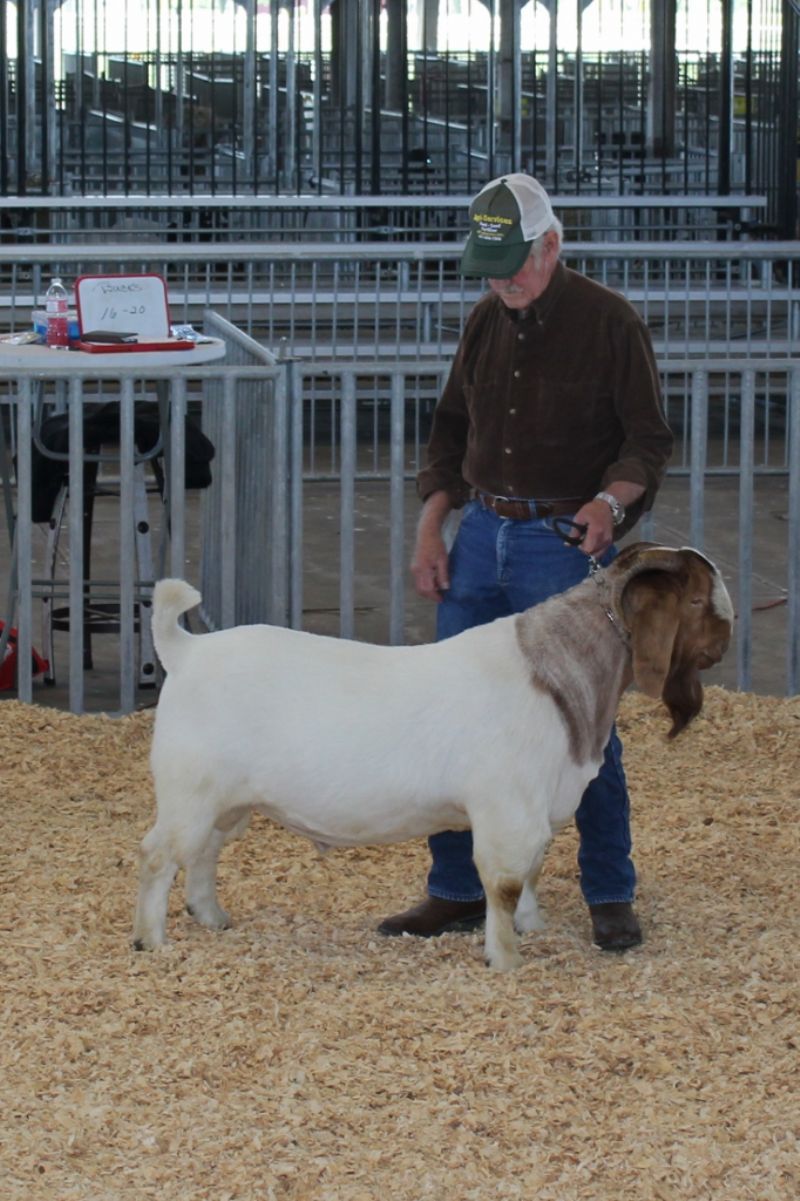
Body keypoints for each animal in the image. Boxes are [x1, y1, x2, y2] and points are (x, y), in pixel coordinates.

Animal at [133, 540, 730, 970]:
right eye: (698, 601)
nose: (724, 643)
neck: (558, 679)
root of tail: (186, 650)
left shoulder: (538, 810)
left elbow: (533, 872)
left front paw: (531, 928)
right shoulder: (506, 809)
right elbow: (505, 883)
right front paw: (506, 959)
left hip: (226, 803)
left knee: (204, 853)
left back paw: (211, 917)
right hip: (189, 790)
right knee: (159, 855)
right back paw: (150, 940)